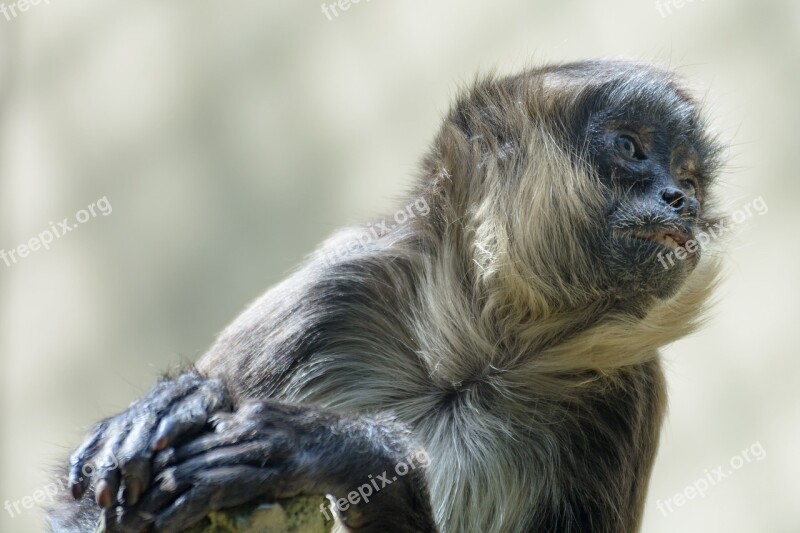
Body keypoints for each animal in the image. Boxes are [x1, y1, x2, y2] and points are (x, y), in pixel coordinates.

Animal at [48, 59, 724, 532]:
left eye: (689, 179)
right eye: (631, 148)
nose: (681, 202)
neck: (476, 360)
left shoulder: (628, 389)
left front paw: (347, 453)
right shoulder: (336, 287)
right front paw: (176, 405)